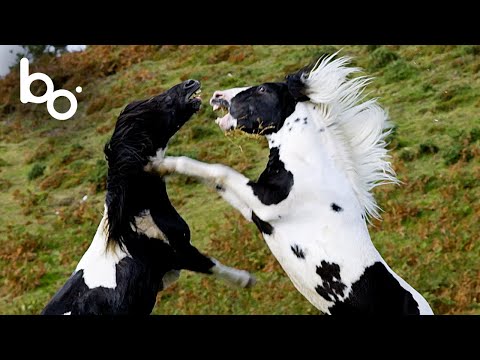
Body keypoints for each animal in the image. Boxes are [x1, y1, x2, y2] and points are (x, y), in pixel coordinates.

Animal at [42, 79, 255, 316]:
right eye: (159, 105)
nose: (190, 83)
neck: (134, 217)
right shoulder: (180, 253)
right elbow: (213, 265)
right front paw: (247, 280)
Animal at [147, 54, 436, 316]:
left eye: (263, 89)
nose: (218, 95)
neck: (310, 166)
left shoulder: (265, 202)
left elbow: (220, 171)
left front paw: (159, 164)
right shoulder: (254, 210)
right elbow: (218, 183)